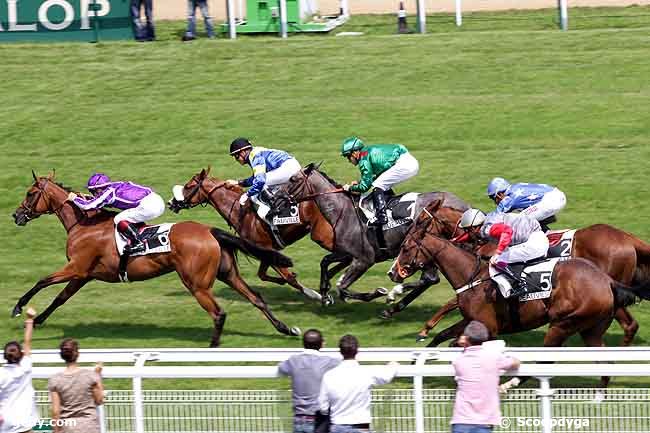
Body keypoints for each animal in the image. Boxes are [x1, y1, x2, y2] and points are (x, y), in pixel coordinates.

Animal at [12, 170, 302, 346]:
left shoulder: (76, 267)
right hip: (227, 273)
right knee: (257, 298)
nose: (16, 215)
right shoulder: (84, 275)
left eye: (30, 193)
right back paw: (287, 329)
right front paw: (38, 320)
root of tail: (209, 230)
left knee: (219, 313)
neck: (83, 225)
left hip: (196, 283)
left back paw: (212, 345)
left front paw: (18, 308)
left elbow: (42, 281)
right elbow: (60, 298)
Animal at [166, 167, 320, 302]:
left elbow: (288, 278)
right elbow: (263, 275)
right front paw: (285, 280)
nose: (170, 203)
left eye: (188, 186)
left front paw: (315, 295)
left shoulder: (267, 248)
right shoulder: (265, 250)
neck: (240, 211)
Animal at [272, 162, 466, 304]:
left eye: (293, 179)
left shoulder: (364, 259)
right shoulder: (348, 254)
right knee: (430, 278)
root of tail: (465, 207)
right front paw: (325, 292)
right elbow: (325, 263)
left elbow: (342, 288)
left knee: (431, 278)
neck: (343, 212)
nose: (274, 198)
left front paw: (378, 292)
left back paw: (395, 293)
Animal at [388, 211, 648, 386]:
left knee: (547, 360)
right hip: (590, 328)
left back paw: (510, 384)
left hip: (562, 324)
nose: (392, 273)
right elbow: (442, 335)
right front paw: (419, 358)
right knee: (608, 352)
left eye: (406, 248)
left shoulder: (489, 328)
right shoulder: (471, 320)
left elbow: (456, 340)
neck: (472, 273)